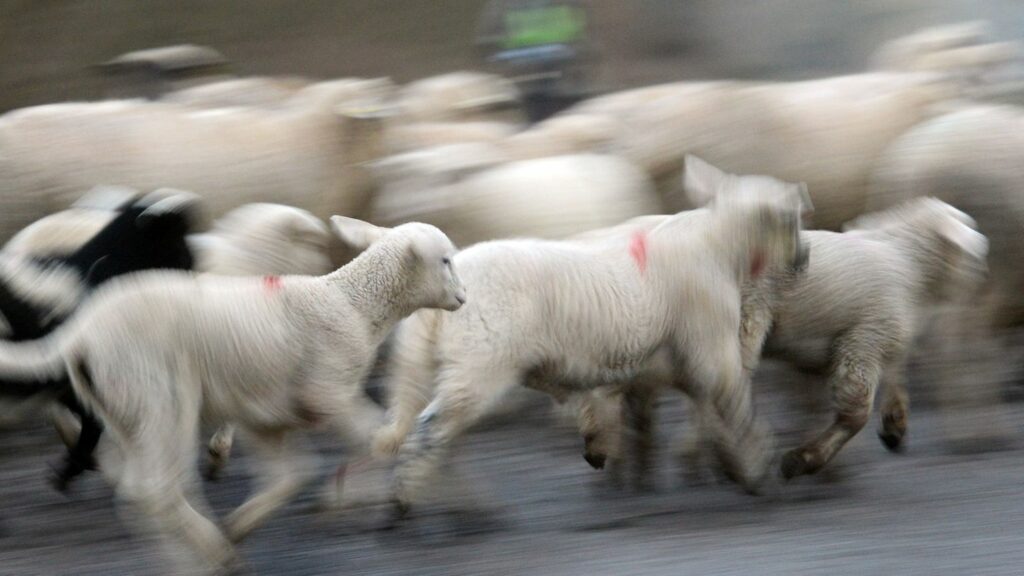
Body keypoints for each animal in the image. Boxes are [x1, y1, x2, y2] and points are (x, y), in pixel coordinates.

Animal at [0, 216, 462, 569]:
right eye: (444, 260)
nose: (462, 297)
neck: (352, 304)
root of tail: (79, 334)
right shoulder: (325, 391)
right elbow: (379, 439)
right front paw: (375, 491)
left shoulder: (267, 414)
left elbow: (292, 474)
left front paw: (245, 524)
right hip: (158, 395)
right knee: (153, 489)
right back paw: (209, 554)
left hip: (123, 406)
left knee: (140, 486)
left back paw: (200, 549)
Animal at [372, 153, 811, 520]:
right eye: (791, 219)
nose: (803, 259)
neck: (720, 248)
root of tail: (447, 284)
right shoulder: (710, 343)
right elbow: (735, 405)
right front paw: (757, 468)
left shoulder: (667, 361)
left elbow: (676, 409)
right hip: (481, 360)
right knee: (432, 428)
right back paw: (404, 503)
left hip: (437, 361)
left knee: (435, 428)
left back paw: (451, 501)